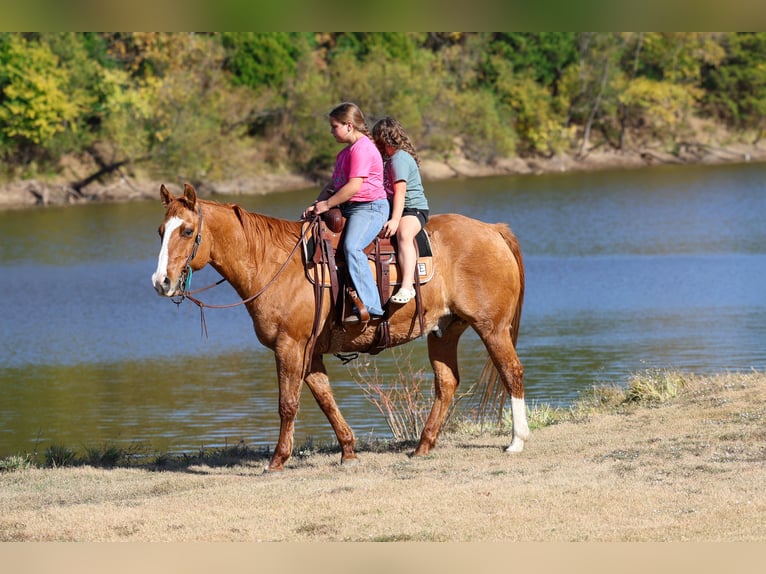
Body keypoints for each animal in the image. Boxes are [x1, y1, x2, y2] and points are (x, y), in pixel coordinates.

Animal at [151, 183, 528, 471]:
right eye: (160, 232)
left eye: (187, 231)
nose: (161, 282)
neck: (274, 262)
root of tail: (492, 230)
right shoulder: (309, 352)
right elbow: (325, 399)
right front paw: (348, 450)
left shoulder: (289, 346)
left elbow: (288, 403)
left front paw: (277, 460)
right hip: (445, 331)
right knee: (447, 383)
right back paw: (423, 445)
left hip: (492, 328)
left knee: (511, 372)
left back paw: (517, 441)